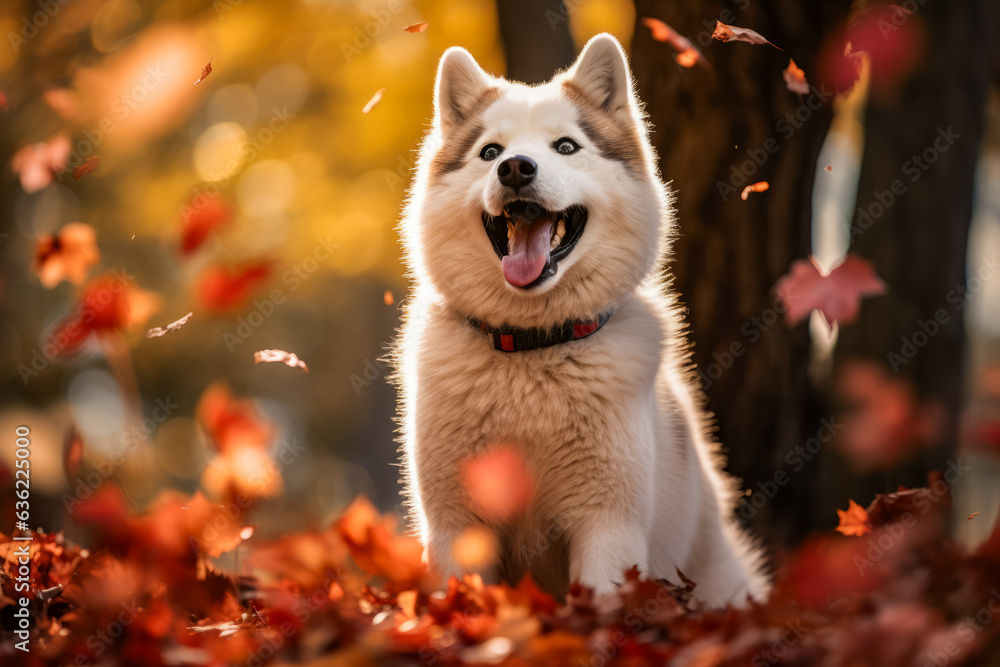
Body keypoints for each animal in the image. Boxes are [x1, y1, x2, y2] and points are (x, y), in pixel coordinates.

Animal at [394, 34, 768, 608]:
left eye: (566, 147)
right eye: (490, 152)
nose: (516, 168)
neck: (532, 347)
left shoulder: (606, 527)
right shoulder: (459, 524)